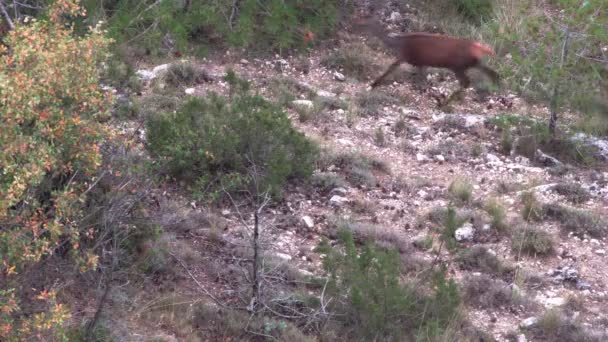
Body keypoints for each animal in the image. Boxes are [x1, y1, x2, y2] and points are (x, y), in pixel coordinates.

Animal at [352, 16, 498, 105]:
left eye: (362, 23)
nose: (352, 25)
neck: (397, 43)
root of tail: (477, 47)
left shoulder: (407, 57)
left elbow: (392, 69)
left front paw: (373, 84)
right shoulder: (419, 63)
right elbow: (422, 82)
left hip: (458, 66)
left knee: (467, 82)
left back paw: (445, 103)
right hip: (470, 63)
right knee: (490, 73)